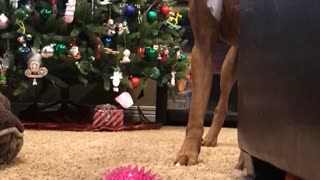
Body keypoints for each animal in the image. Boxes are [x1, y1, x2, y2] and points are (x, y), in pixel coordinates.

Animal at [174, 0, 239, 166]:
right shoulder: (202, 47)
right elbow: (196, 111)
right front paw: (187, 153)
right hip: (229, 66)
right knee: (222, 106)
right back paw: (210, 138)